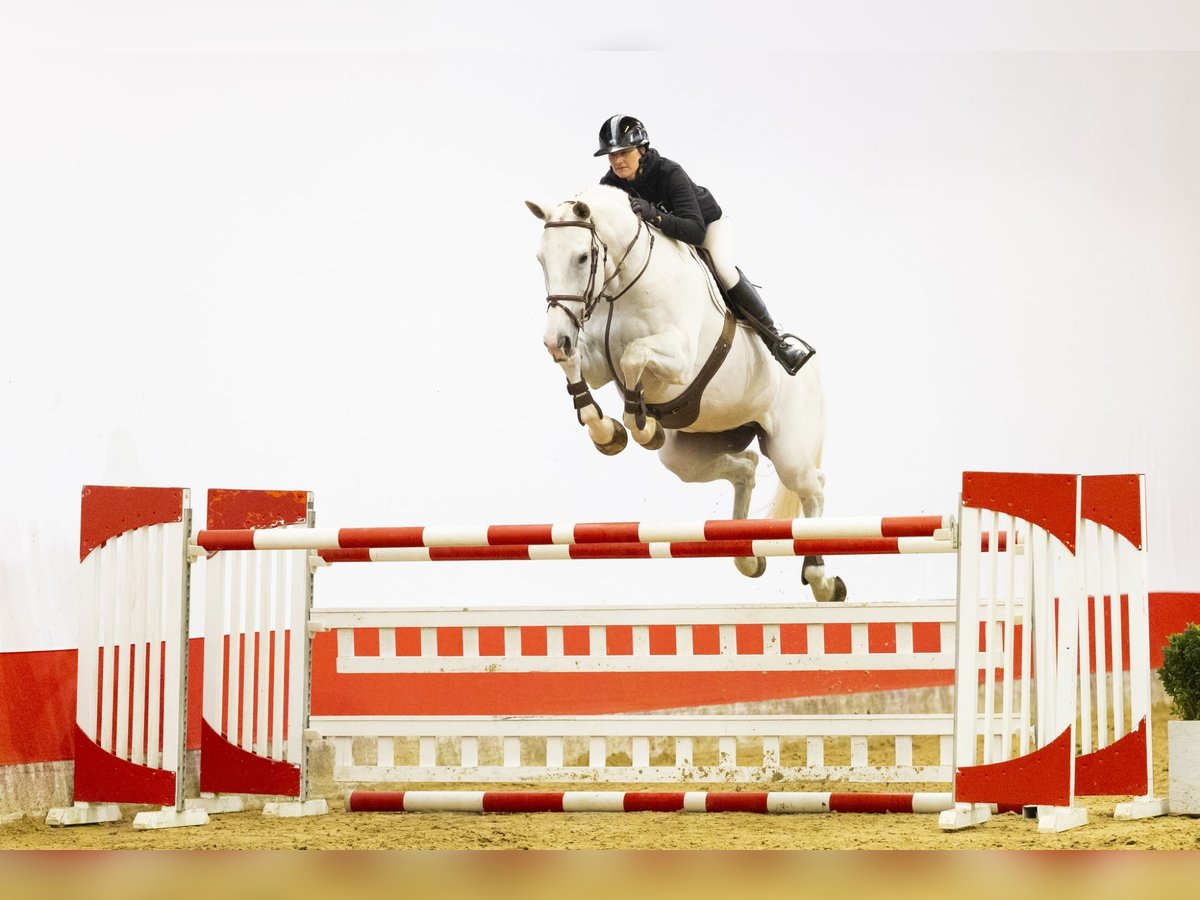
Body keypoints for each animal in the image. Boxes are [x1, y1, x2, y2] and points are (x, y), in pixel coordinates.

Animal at [526, 185, 846, 602]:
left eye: (582, 257)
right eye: (541, 259)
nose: (554, 339)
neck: (622, 286)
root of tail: (814, 373)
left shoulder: (678, 360)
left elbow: (634, 357)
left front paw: (642, 426)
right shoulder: (596, 364)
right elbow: (577, 365)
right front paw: (608, 432)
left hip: (792, 451)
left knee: (813, 488)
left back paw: (822, 579)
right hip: (691, 454)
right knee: (745, 466)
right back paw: (746, 555)